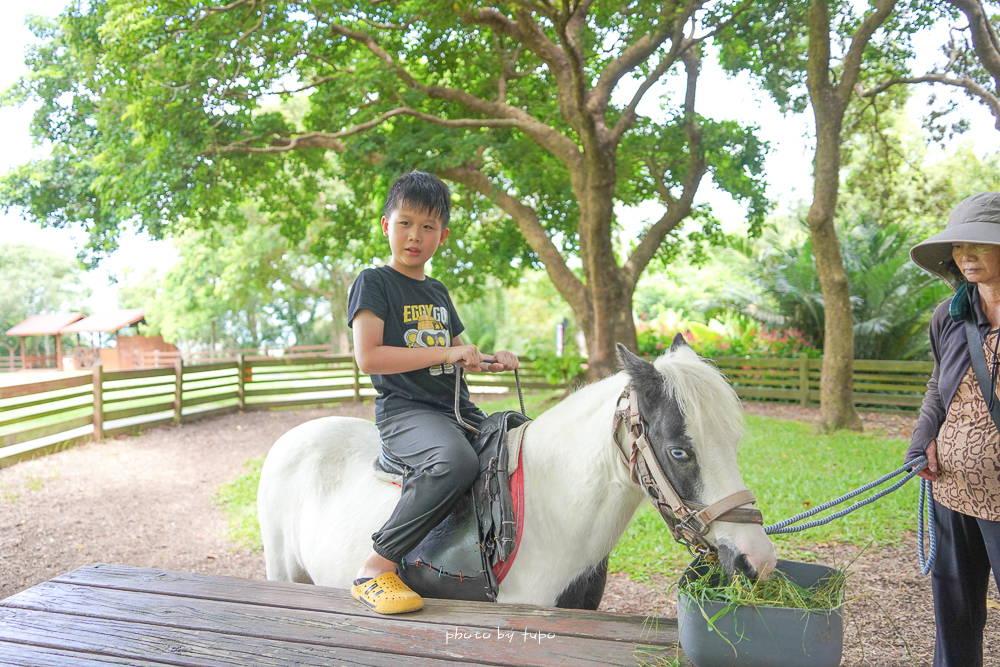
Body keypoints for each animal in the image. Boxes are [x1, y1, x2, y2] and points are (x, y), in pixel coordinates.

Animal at [256, 342, 772, 608]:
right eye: (679, 451)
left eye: (735, 442)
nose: (756, 560)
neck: (546, 514)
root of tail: (293, 436)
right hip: (283, 570)